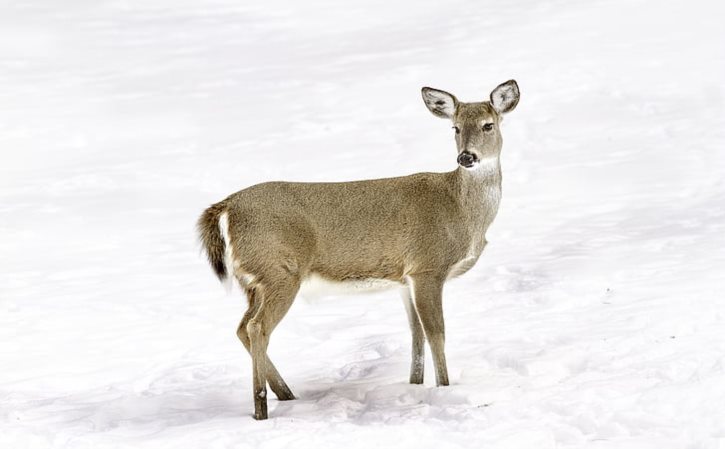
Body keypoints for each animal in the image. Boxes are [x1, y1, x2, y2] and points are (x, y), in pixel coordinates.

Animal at [198, 79, 520, 418]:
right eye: (455, 128)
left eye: (488, 125)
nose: (466, 158)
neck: (460, 210)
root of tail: (227, 207)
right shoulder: (428, 266)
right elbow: (437, 333)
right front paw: (444, 388)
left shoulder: (405, 278)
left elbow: (416, 333)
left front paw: (415, 384)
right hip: (278, 271)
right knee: (258, 327)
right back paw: (262, 408)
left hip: (254, 281)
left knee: (242, 327)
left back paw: (286, 395)